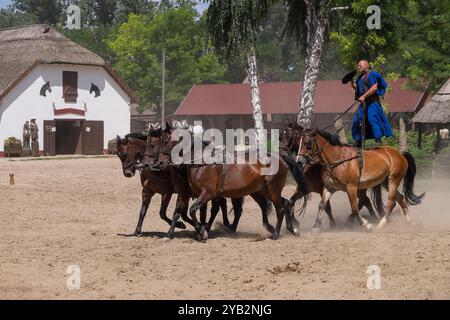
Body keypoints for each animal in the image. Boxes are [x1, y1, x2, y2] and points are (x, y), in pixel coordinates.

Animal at [146, 122, 312, 240]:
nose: (159, 163)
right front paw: (199, 230)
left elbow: (193, 210)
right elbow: (193, 212)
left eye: (165, 140)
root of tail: (281, 157)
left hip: (272, 190)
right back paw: (291, 229)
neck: (201, 162)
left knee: (281, 207)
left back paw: (276, 234)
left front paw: (202, 232)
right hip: (262, 190)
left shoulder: (207, 193)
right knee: (284, 203)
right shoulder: (196, 194)